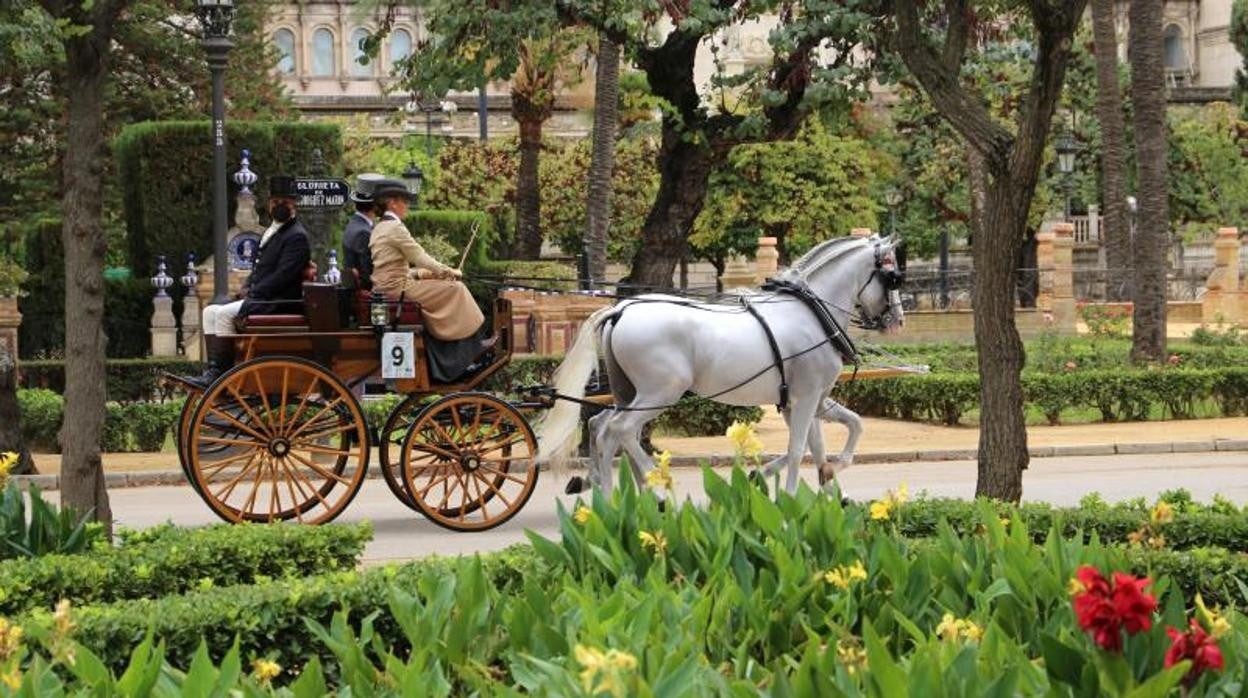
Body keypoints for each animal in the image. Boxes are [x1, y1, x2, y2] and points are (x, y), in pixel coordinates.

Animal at [536, 234, 908, 496]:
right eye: (893, 278)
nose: (897, 320)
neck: (810, 312)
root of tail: (621, 309)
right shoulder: (805, 398)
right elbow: (798, 448)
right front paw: (790, 497)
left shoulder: (809, 400)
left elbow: (833, 438)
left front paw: (832, 490)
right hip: (661, 393)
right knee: (621, 430)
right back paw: (656, 490)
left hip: (628, 392)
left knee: (602, 428)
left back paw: (610, 495)